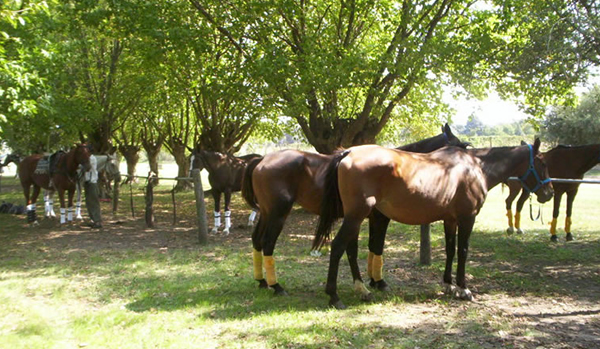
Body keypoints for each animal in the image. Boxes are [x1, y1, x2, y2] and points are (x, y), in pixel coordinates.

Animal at [241, 122, 472, 294]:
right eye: (459, 146)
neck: (399, 167)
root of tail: (262, 160)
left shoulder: (366, 219)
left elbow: (366, 247)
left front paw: (370, 280)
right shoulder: (379, 218)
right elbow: (376, 246)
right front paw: (378, 282)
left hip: (267, 213)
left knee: (257, 240)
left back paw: (262, 281)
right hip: (278, 214)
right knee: (268, 242)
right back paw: (276, 286)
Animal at [314, 139, 552, 308]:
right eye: (542, 162)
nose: (549, 193)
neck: (477, 167)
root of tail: (348, 153)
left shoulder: (450, 219)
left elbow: (450, 250)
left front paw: (448, 284)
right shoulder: (467, 218)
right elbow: (463, 251)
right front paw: (463, 289)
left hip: (356, 217)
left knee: (350, 249)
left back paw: (362, 290)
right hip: (356, 215)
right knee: (338, 247)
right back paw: (335, 296)